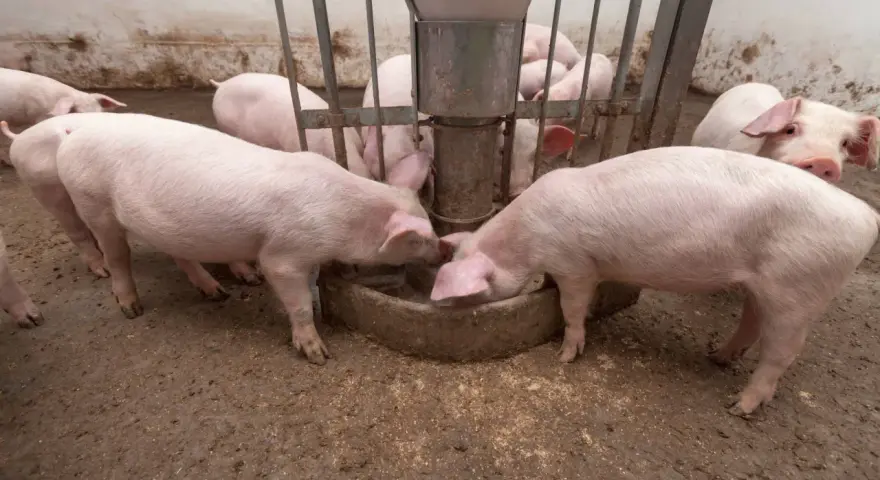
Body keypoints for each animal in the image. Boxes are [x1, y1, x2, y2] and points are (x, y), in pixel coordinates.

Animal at [53, 112, 450, 364]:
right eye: (416, 240)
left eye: (431, 226)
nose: (445, 250)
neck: (344, 218)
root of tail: (72, 136)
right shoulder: (283, 254)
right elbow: (297, 299)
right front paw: (318, 356)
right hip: (92, 204)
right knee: (117, 256)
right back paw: (132, 309)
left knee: (181, 255)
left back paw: (219, 292)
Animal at [430, 145, 880, 417]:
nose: (439, 306)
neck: (526, 237)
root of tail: (867, 217)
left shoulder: (576, 264)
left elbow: (573, 307)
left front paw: (565, 356)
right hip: (763, 286)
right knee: (752, 323)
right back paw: (717, 357)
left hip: (798, 288)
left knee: (782, 353)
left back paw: (738, 407)